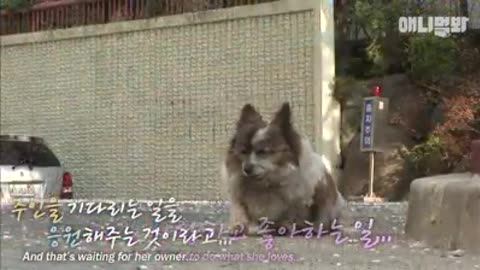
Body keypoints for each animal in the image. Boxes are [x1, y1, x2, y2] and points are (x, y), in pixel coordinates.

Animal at [221, 102, 344, 235]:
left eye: (262, 152)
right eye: (243, 152)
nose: (246, 169)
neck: (266, 183)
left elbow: (292, 214)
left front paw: (284, 226)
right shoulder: (239, 199)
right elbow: (241, 212)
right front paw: (239, 226)